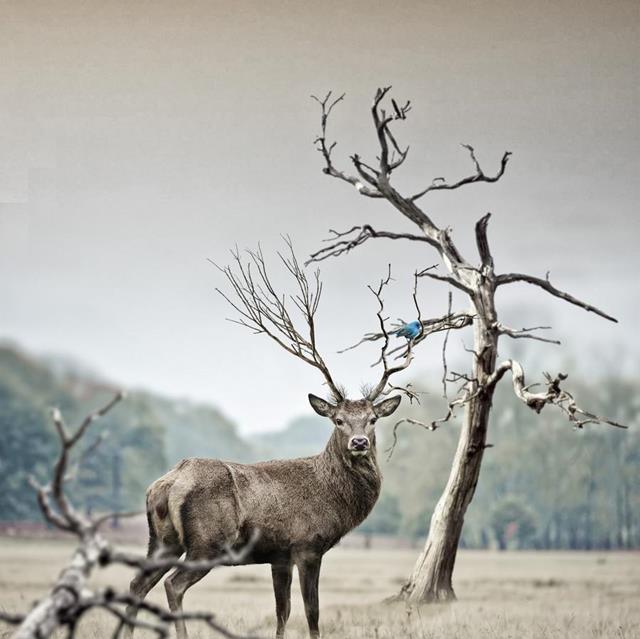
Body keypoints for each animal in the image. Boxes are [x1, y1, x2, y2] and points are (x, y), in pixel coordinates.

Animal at [124, 243, 417, 639]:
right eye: (338, 420)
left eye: (372, 420)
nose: (359, 443)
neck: (334, 499)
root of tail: (167, 483)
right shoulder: (307, 544)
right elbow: (312, 611)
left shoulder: (279, 555)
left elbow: (283, 611)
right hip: (208, 542)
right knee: (173, 584)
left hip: (161, 540)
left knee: (137, 583)